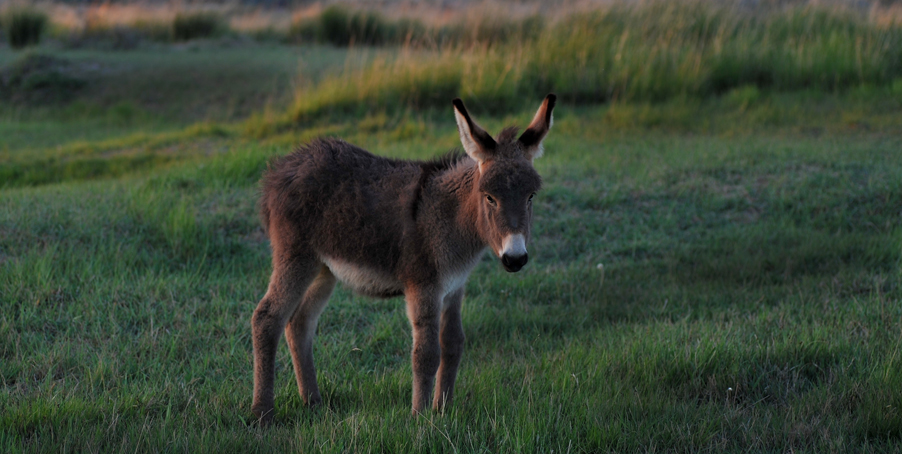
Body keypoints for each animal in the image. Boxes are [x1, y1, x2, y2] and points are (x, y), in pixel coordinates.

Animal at [251, 95, 556, 422]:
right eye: (489, 197)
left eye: (531, 196)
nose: (515, 258)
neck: (450, 219)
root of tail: (281, 169)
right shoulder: (423, 287)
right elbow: (426, 354)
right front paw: (420, 417)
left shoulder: (454, 287)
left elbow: (453, 344)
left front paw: (443, 409)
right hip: (296, 257)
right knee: (267, 318)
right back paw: (262, 413)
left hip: (324, 270)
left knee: (299, 323)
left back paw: (313, 402)